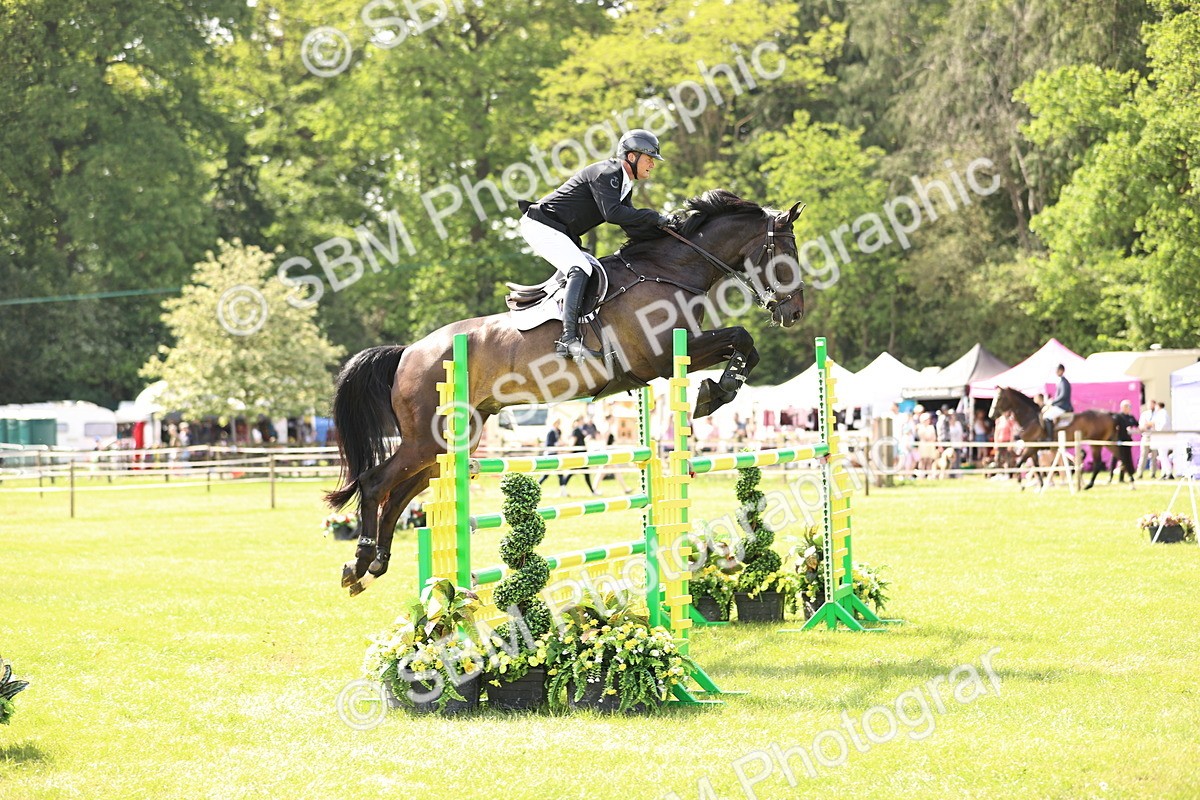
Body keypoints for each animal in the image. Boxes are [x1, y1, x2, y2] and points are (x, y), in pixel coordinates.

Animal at [327, 190, 807, 595]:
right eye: (785, 255)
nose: (795, 313)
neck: (670, 270)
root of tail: (409, 352)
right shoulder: (663, 356)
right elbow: (741, 336)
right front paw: (714, 392)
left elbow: (744, 344)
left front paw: (716, 390)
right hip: (428, 438)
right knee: (375, 483)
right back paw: (361, 559)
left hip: (451, 442)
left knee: (400, 493)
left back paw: (373, 564)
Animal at [988, 386, 1118, 490]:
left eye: (999, 398)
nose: (991, 415)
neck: (1030, 419)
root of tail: (1109, 414)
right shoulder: (1033, 449)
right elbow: (1036, 466)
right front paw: (1040, 485)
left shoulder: (1031, 448)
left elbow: (1019, 463)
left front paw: (1021, 484)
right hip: (1107, 443)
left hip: (1096, 444)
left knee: (1098, 463)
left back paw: (1089, 485)